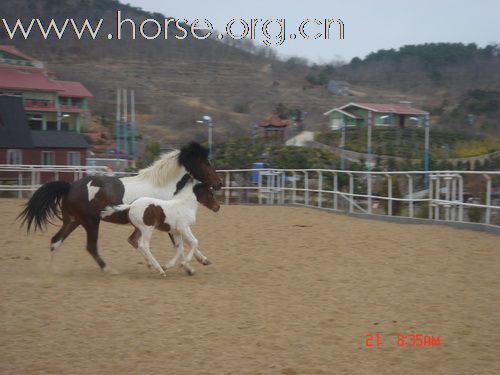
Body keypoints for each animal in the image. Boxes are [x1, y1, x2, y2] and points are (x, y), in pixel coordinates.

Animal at [19, 142, 223, 274]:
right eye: (205, 163)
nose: (219, 183)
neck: (165, 187)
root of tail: (69, 186)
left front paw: (202, 261)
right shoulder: (168, 222)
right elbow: (181, 244)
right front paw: (188, 267)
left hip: (73, 221)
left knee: (55, 241)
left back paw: (51, 270)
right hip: (91, 222)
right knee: (90, 246)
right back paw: (109, 269)